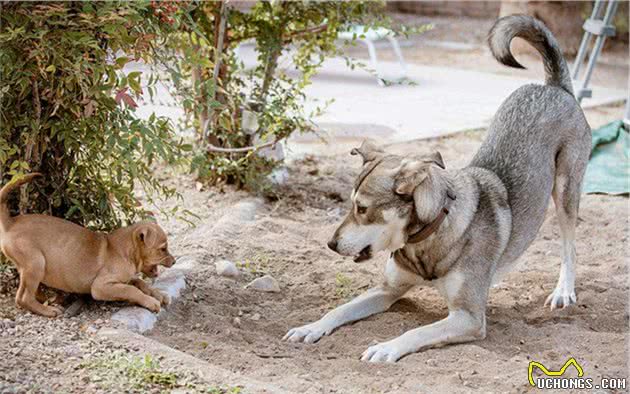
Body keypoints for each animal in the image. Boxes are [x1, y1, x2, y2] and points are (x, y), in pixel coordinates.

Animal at [0, 172, 177, 318]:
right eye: (163, 249)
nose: (174, 261)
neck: (127, 251)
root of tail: (10, 222)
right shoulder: (101, 286)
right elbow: (131, 290)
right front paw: (151, 302)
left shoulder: (125, 279)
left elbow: (140, 283)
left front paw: (159, 294)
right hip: (36, 263)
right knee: (23, 298)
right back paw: (48, 310)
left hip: (32, 267)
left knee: (28, 292)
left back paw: (48, 299)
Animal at [284, 15, 596, 362]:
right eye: (349, 205)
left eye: (362, 209)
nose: (330, 244)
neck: (428, 235)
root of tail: (554, 87)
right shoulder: (386, 290)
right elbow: (338, 310)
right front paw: (310, 327)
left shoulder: (468, 317)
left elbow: (417, 331)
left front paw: (385, 347)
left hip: (566, 193)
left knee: (570, 247)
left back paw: (563, 292)